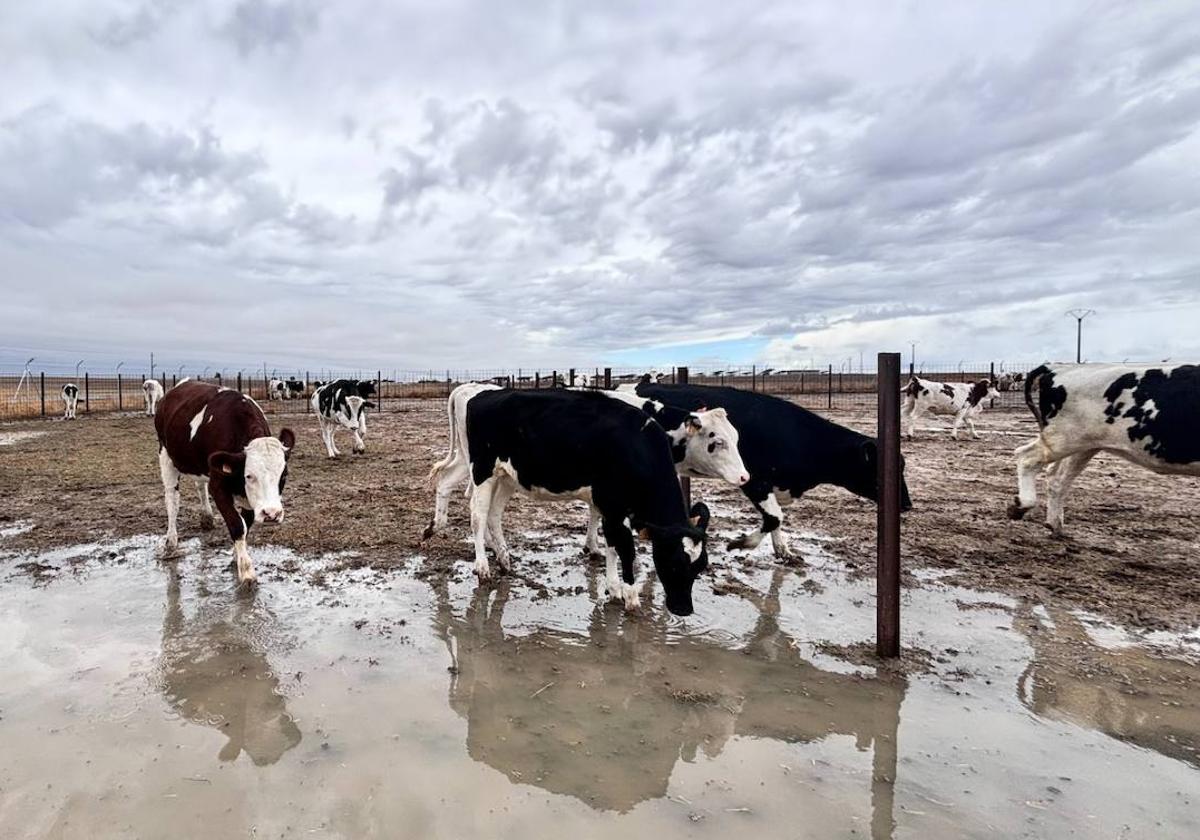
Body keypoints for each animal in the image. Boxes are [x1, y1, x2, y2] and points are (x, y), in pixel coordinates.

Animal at [154, 379, 295, 583]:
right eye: (249, 475)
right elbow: (236, 524)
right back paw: (171, 541)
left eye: (283, 475)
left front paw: (237, 556)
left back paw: (206, 517)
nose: (272, 514)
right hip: (165, 454)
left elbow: (246, 524)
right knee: (172, 499)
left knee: (199, 485)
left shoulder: (248, 498)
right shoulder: (218, 486)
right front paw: (246, 570)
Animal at [432, 388, 710, 619]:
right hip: (482, 469)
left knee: (493, 513)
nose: (684, 609)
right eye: (673, 563)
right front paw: (630, 597)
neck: (636, 447)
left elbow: (612, 545)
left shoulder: (610, 508)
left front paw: (614, 588)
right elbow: (625, 549)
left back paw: (502, 558)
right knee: (478, 515)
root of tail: (481, 392)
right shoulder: (612, 505)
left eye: (700, 567)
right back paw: (482, 566)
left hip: (507, 476)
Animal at [638, 381, 907, 556]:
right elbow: (774, 517)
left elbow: (776, 518)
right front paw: (740, 544)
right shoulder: (755, 481)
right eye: (877, 468)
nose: (906, 504)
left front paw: (782, 551)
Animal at [1012, 364, 1200, 535]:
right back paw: (1023, 505)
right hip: (1063, 438)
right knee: (1026, 456)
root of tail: (1055, 367)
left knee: (1057, 478)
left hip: (1084, 445)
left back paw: (1055, 524)